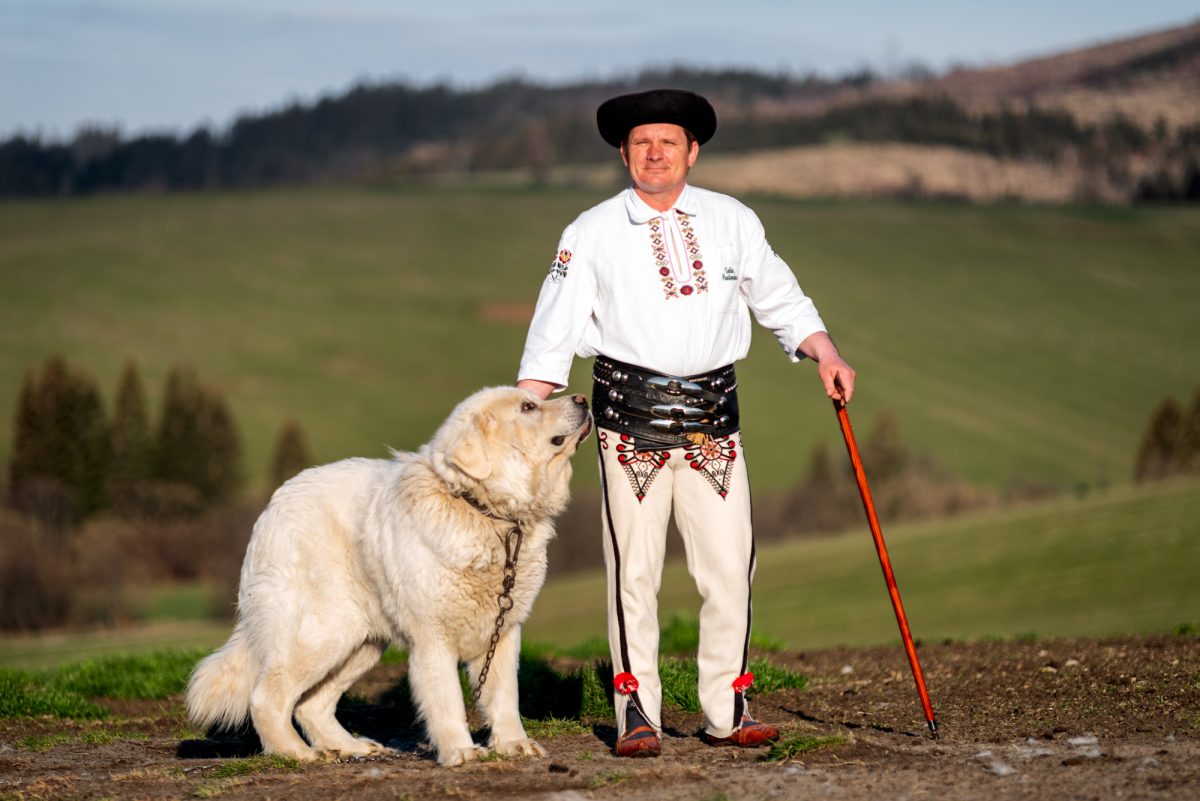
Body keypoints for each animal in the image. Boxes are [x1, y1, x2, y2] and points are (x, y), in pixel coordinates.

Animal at [186, 390, 590, 767]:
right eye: (528, 408)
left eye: (535, 400)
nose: (583, 399)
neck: (480, 509)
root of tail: (272, 508)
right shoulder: (433, 638)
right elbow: (447, 700)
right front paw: (460, 751)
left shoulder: (502, 632)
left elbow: (504, 697)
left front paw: (513, 744)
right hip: (318, 636)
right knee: (267, 699)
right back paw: (297, 754)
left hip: (359, 643)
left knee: (310, 705)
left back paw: (349, 747)